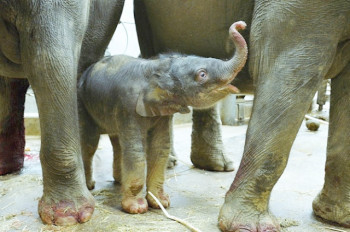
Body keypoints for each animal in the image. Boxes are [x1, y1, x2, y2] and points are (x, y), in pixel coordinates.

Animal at [78, 21, 247, 214]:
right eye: (202, 74)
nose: (241, 25)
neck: (156, 67)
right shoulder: (128, 107)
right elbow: (136, 151)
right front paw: (137, 208)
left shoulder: (161, 112)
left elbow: (160, 148)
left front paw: (161, 202)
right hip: (82, 103)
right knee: (90, 143)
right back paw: (90, 185)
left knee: (117, 142)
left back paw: (119, 181)